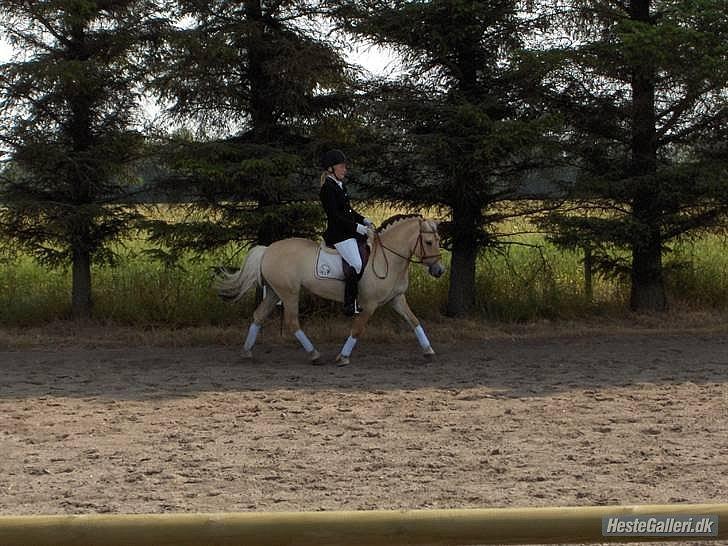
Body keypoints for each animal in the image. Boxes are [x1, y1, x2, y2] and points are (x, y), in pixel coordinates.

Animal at [213, 214, 446, 366]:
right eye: (428, 242)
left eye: (438, 240)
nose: (439, 271)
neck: (387, 257)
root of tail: (268, 249)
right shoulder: (369, 305)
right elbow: (357, 329)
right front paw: (343, 357)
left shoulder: (397, 298)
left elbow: (414, 321)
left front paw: (429, 351)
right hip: (289, 293)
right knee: (292, 322)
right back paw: (314, 355)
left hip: (274, 292)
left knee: (259, 316)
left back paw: (246, 352)